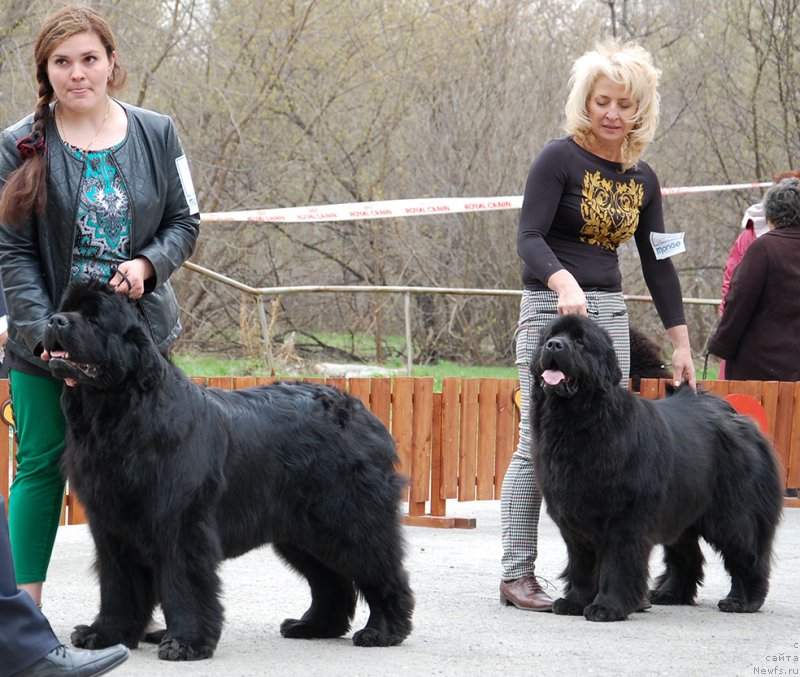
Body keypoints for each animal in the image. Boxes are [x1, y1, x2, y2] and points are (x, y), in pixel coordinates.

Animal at [41, 278, 416, 656]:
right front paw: (105, 635)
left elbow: (184, 582)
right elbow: (118, 586)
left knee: (380, 570)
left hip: (348, 519)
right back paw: (313, 626)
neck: (118, 416)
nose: (55, 321)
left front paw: (185, 643)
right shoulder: (111, 527)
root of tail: (363, 413)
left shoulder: (180, 523)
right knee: (331, 580)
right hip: (301, 531)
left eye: (94, 319)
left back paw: (383, 631)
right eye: (66, 309)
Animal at [532, 314, 780, 620]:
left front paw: (607, 607)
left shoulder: (625, 519)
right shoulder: (574, 519)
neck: (581, 423)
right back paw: (670, 594)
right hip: (681, 509)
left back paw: (742, 601)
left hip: (734, 515)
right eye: (549, 337)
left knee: (747, 554)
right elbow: (581, 565)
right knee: (686, 555)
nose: (555, 345)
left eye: (580, 341)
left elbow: (616, 564)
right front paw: (575, 602)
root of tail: (738, 419)